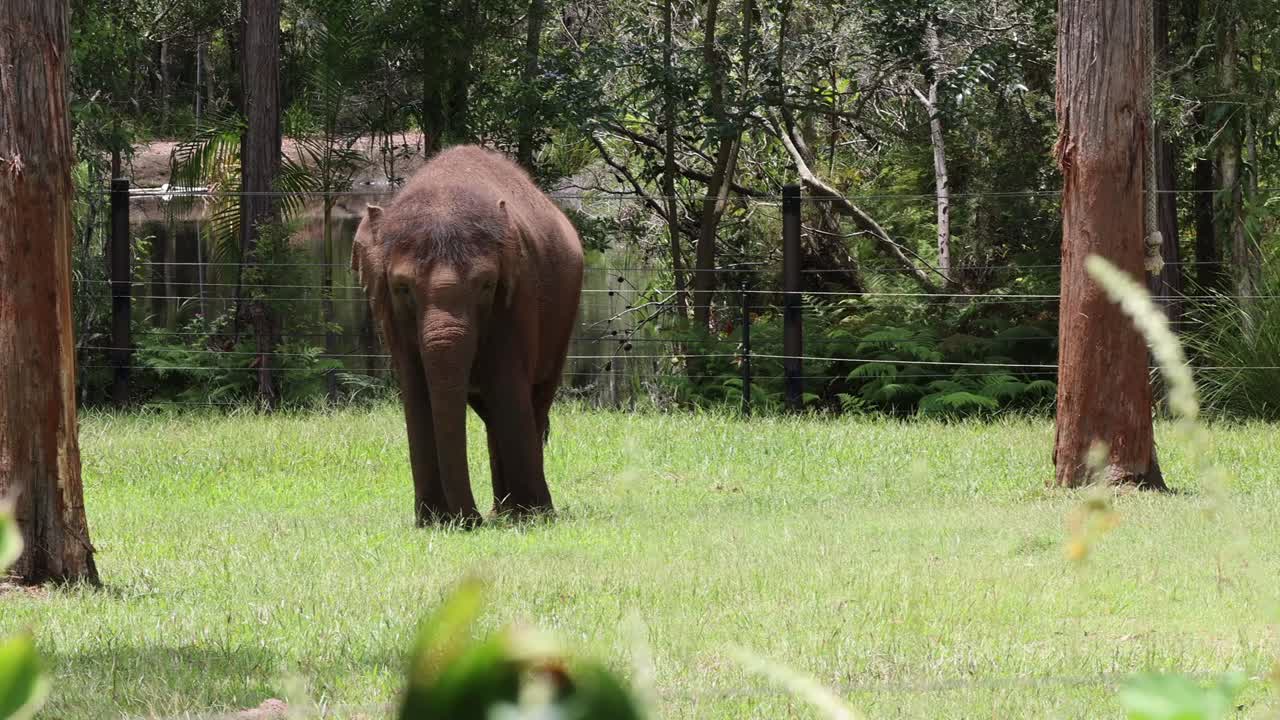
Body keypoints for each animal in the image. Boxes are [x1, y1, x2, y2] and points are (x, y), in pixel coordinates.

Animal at [351, 145, 584, 525]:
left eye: (486, 285)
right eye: (402, 288)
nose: (469, 521)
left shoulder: (517, 295)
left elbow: (507, 383)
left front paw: (532, 517)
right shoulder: (389, 314)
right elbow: (416, 391)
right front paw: (432, 522)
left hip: (563, 318)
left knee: (533, 399)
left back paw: (522, 512)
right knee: (491, 413)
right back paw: (502, 511)